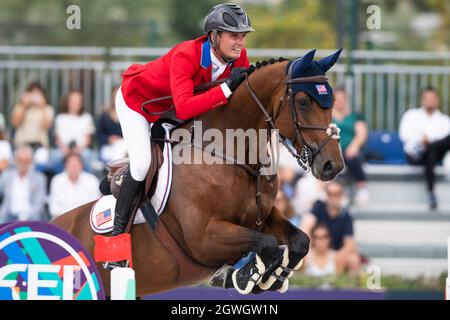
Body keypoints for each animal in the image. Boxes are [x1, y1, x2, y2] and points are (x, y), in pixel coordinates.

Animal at [51, 49, 342, 298]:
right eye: (303, 102)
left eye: (332, 102)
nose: (333, 165)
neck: (232, 155)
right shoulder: (204, 238)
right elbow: (267, 244)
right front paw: (244, 276)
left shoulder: (264, 216)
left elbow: (300, 241)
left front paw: (267, 279)